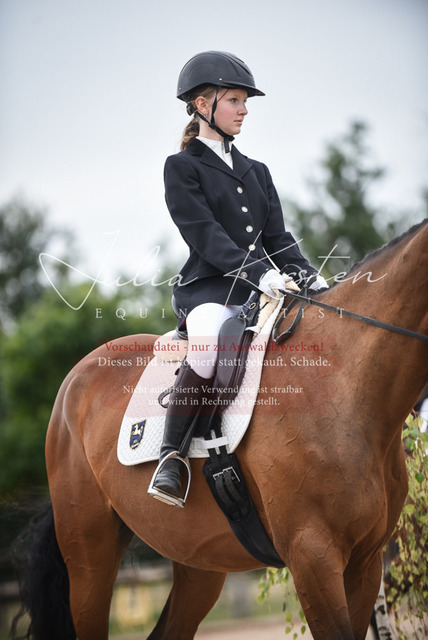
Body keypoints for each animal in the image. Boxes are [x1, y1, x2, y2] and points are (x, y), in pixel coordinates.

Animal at [12, 220, 428, 640]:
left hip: (199, 558)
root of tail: (77, 376)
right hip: (88, 555)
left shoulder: (366, 562)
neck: (340, 381)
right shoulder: (313, 557)